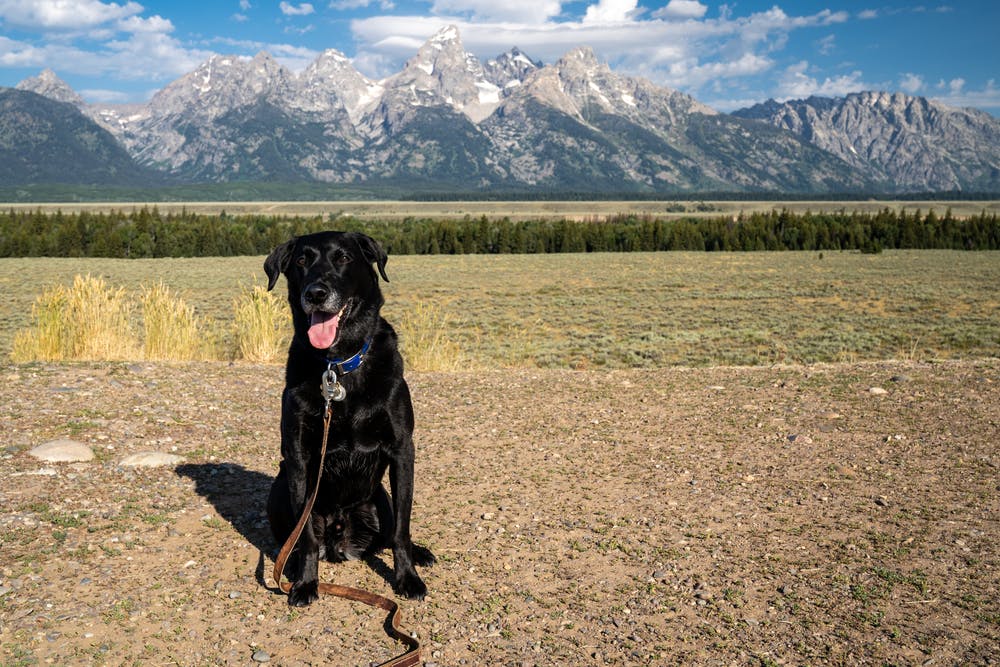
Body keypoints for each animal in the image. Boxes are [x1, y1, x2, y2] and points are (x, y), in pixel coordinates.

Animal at [266, 231, 434, 604]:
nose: (315, 293)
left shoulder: (402, 451)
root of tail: (340, 536)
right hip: (279, 486)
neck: (338, 365)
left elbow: (402, 528)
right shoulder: (298, 458)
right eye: (301, 261)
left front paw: (407, 578)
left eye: (343, 257)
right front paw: (306, 583)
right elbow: (306, 537)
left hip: (380, 498)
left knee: (391, 531)